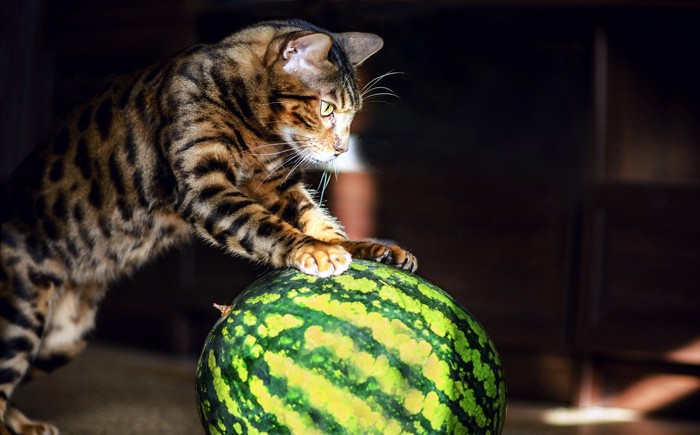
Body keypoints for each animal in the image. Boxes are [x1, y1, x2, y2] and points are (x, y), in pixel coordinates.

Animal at [0, 18, 416, 434]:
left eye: (351, 116)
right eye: (326, 108)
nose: (343, 150)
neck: (255, 130)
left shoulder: (274, 184)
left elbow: (316, 218)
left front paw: (365, 247)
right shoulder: (204, 187)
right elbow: (260, 226)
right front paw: (313, 250)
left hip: (64, 338)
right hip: (20, 319)